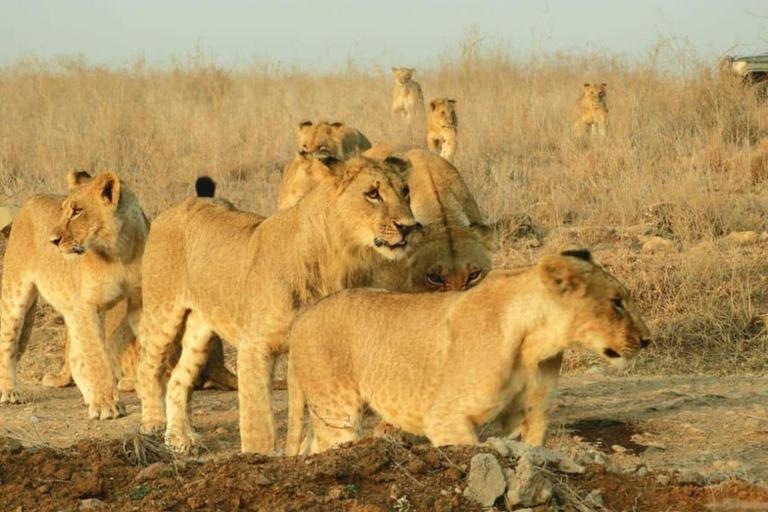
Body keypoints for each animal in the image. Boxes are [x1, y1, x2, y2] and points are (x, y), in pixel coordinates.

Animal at [0, 170, 148, 418]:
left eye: (78, 211)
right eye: (63, 211)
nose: (53, 241)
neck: (119, 252)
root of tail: (30, 200)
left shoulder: (140, 302)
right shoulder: (88, 305)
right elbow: (98, 358)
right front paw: (107, 405)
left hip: (71, 309)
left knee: (76, 359)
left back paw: (90, 398)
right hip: (15, 292)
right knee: (7, 343)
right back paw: (9, 392)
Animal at [135, 154, 416, 454]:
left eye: (405, 192)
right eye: (373, 194)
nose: (409, 227)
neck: (335, 256)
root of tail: (175, 206)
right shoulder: (254, 345)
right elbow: (259, 418)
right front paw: (260, 457)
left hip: (202, 329)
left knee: (179, 378)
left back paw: (180, 438)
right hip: (162, 312)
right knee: (149, 366)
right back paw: (152, 424)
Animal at [284, 250, 652, 454]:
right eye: (616, 303)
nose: (647, 339)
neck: (536, 340)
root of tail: (303, 318)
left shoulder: (529, 416)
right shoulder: (445, 418)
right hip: (337, 410)